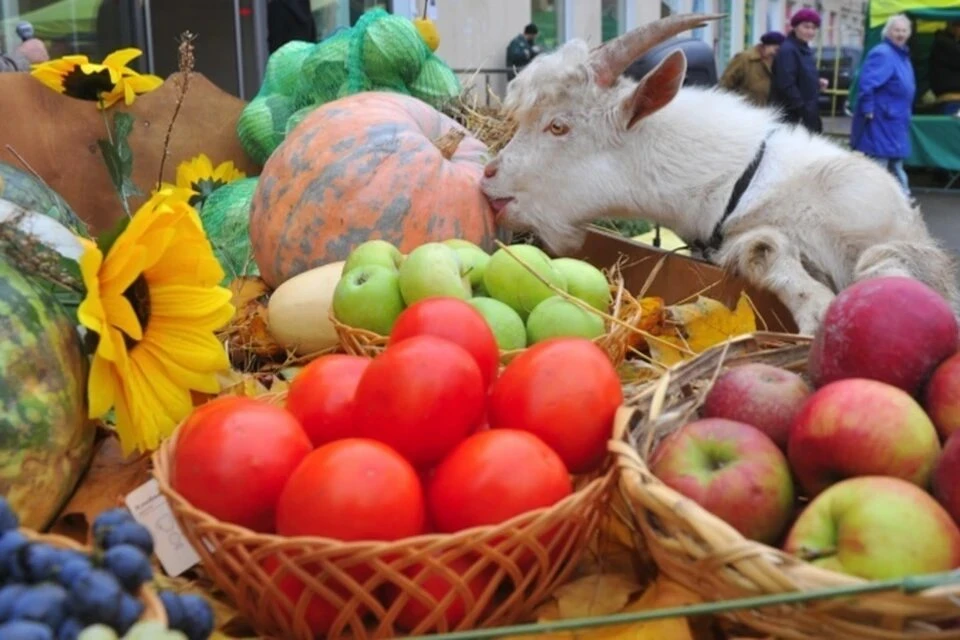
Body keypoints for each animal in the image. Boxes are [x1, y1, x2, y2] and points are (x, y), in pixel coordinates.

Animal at [484, 13, 960, 336]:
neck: (741, 183)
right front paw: (817, 308)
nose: (489, 177)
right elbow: (762, 248)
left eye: (558, 126)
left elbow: (893, 266)